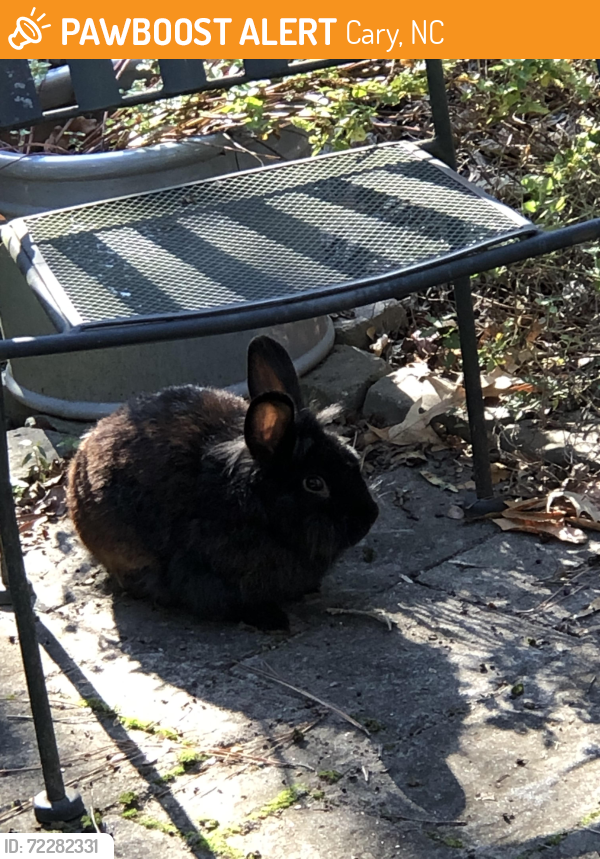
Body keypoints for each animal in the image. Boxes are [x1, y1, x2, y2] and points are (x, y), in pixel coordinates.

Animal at [67, 335, 379, 630]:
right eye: (314, 483)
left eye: (348, 455)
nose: (369, 518)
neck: (253, 503)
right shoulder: (204, 574)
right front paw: (273, 620)